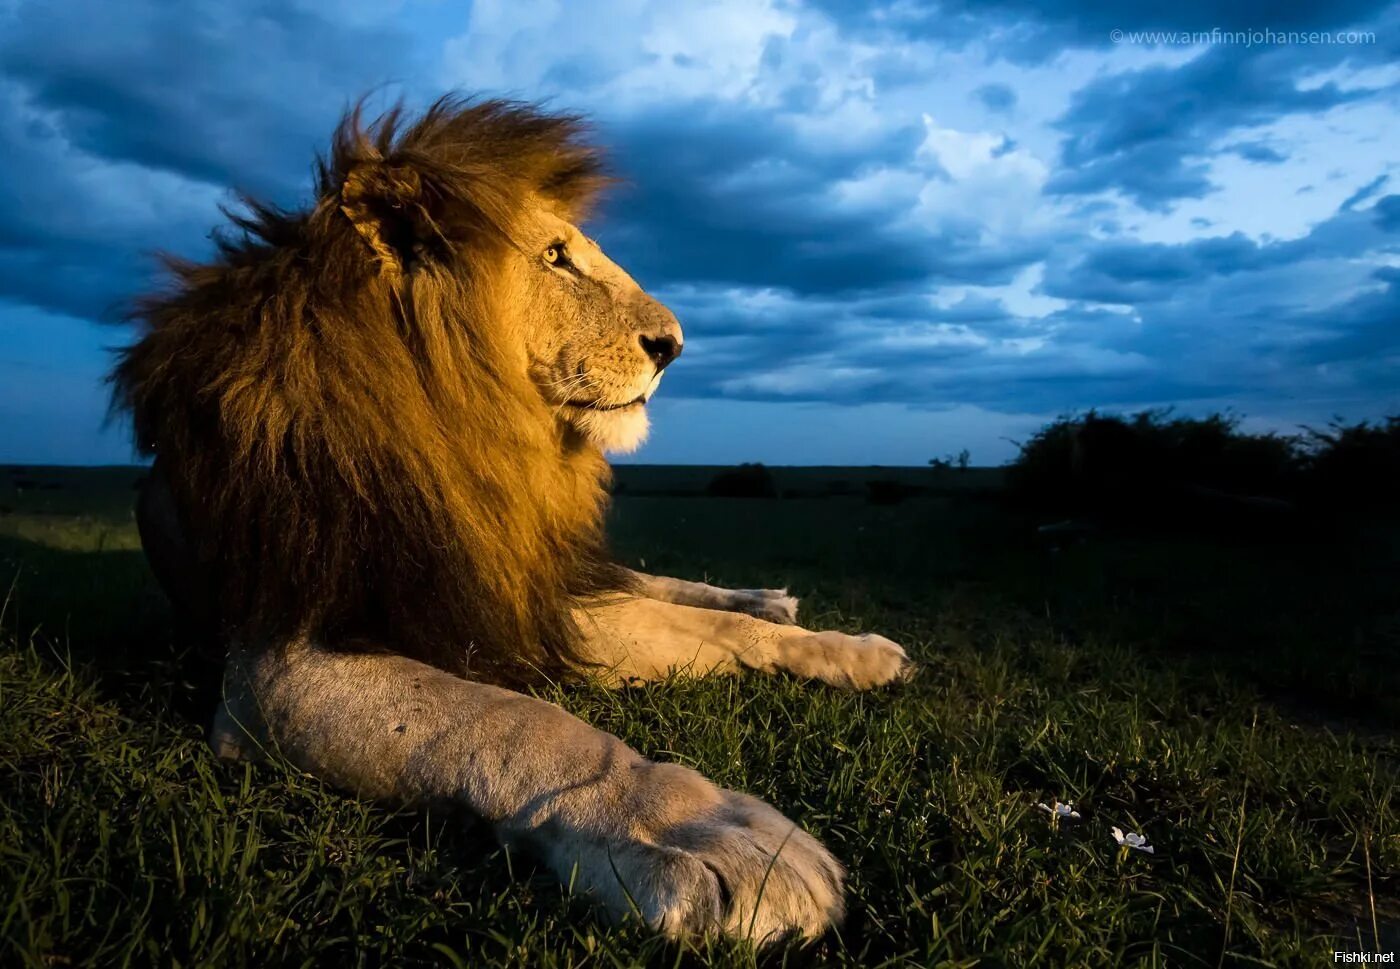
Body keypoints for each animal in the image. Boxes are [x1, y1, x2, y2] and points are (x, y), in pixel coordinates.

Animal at [114, 98, 912, 946]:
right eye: (555, 256)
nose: (673, 346)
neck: (470, 436)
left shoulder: (518, 591)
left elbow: (705, 631)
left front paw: (842, 651)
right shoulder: (280, 666)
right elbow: (518, 721)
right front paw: (702, 832)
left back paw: (781, 605)